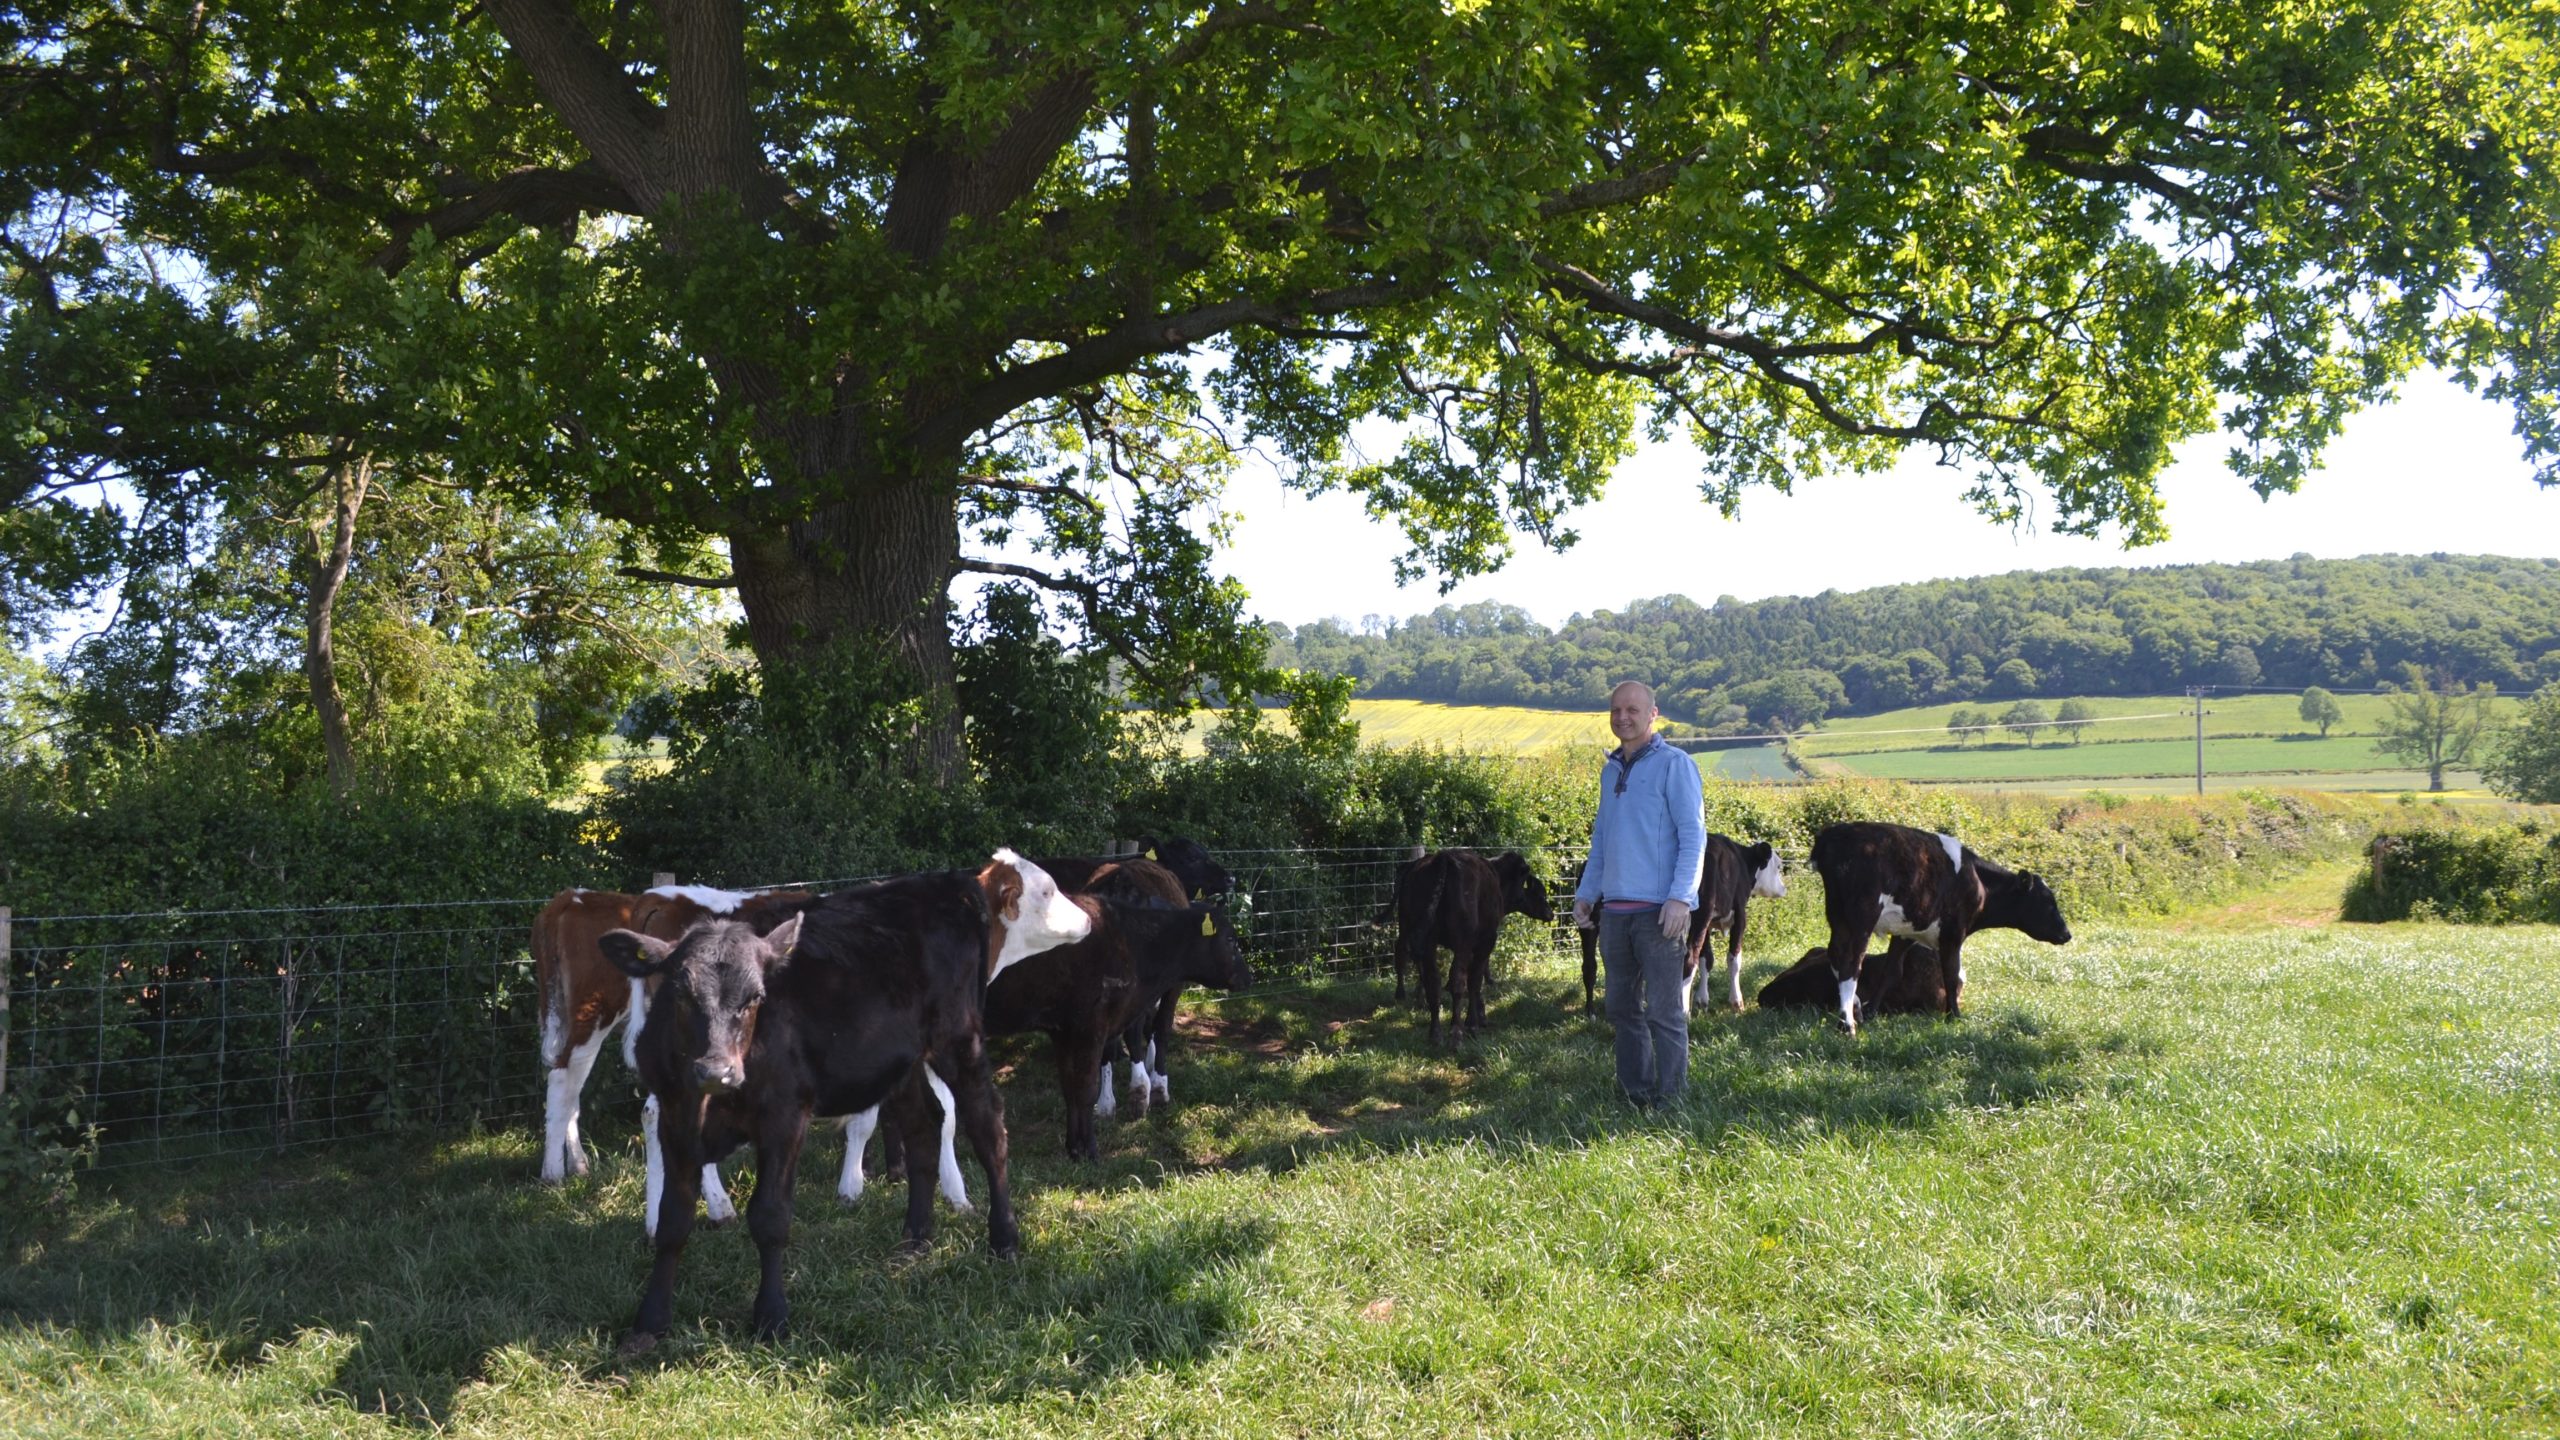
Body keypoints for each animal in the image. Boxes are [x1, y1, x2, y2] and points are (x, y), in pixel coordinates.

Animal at [1392, 845, 1546, 1035]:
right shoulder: (1485, 939)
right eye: (1541, 895)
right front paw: (1478, 1016)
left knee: (1413, 960)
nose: (1551, 914)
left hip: (1410, 927)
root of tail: (1443, 857)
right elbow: (1477, 975)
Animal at [1812, 819, 2068, 1030]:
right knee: (1851, 962)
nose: (2067, 934)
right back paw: (1847, 1024)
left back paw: (1854, 1010)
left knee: (1835, 954)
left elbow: (1891, 972)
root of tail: (1835, 833)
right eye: (2048, 902)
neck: (1978, 880)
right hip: (1861, 917)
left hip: (1837, 914)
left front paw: (1871, 1010)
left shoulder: (1906, 932)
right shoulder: (1953, 933)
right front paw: (1954, 1016)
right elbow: (1951, 974)